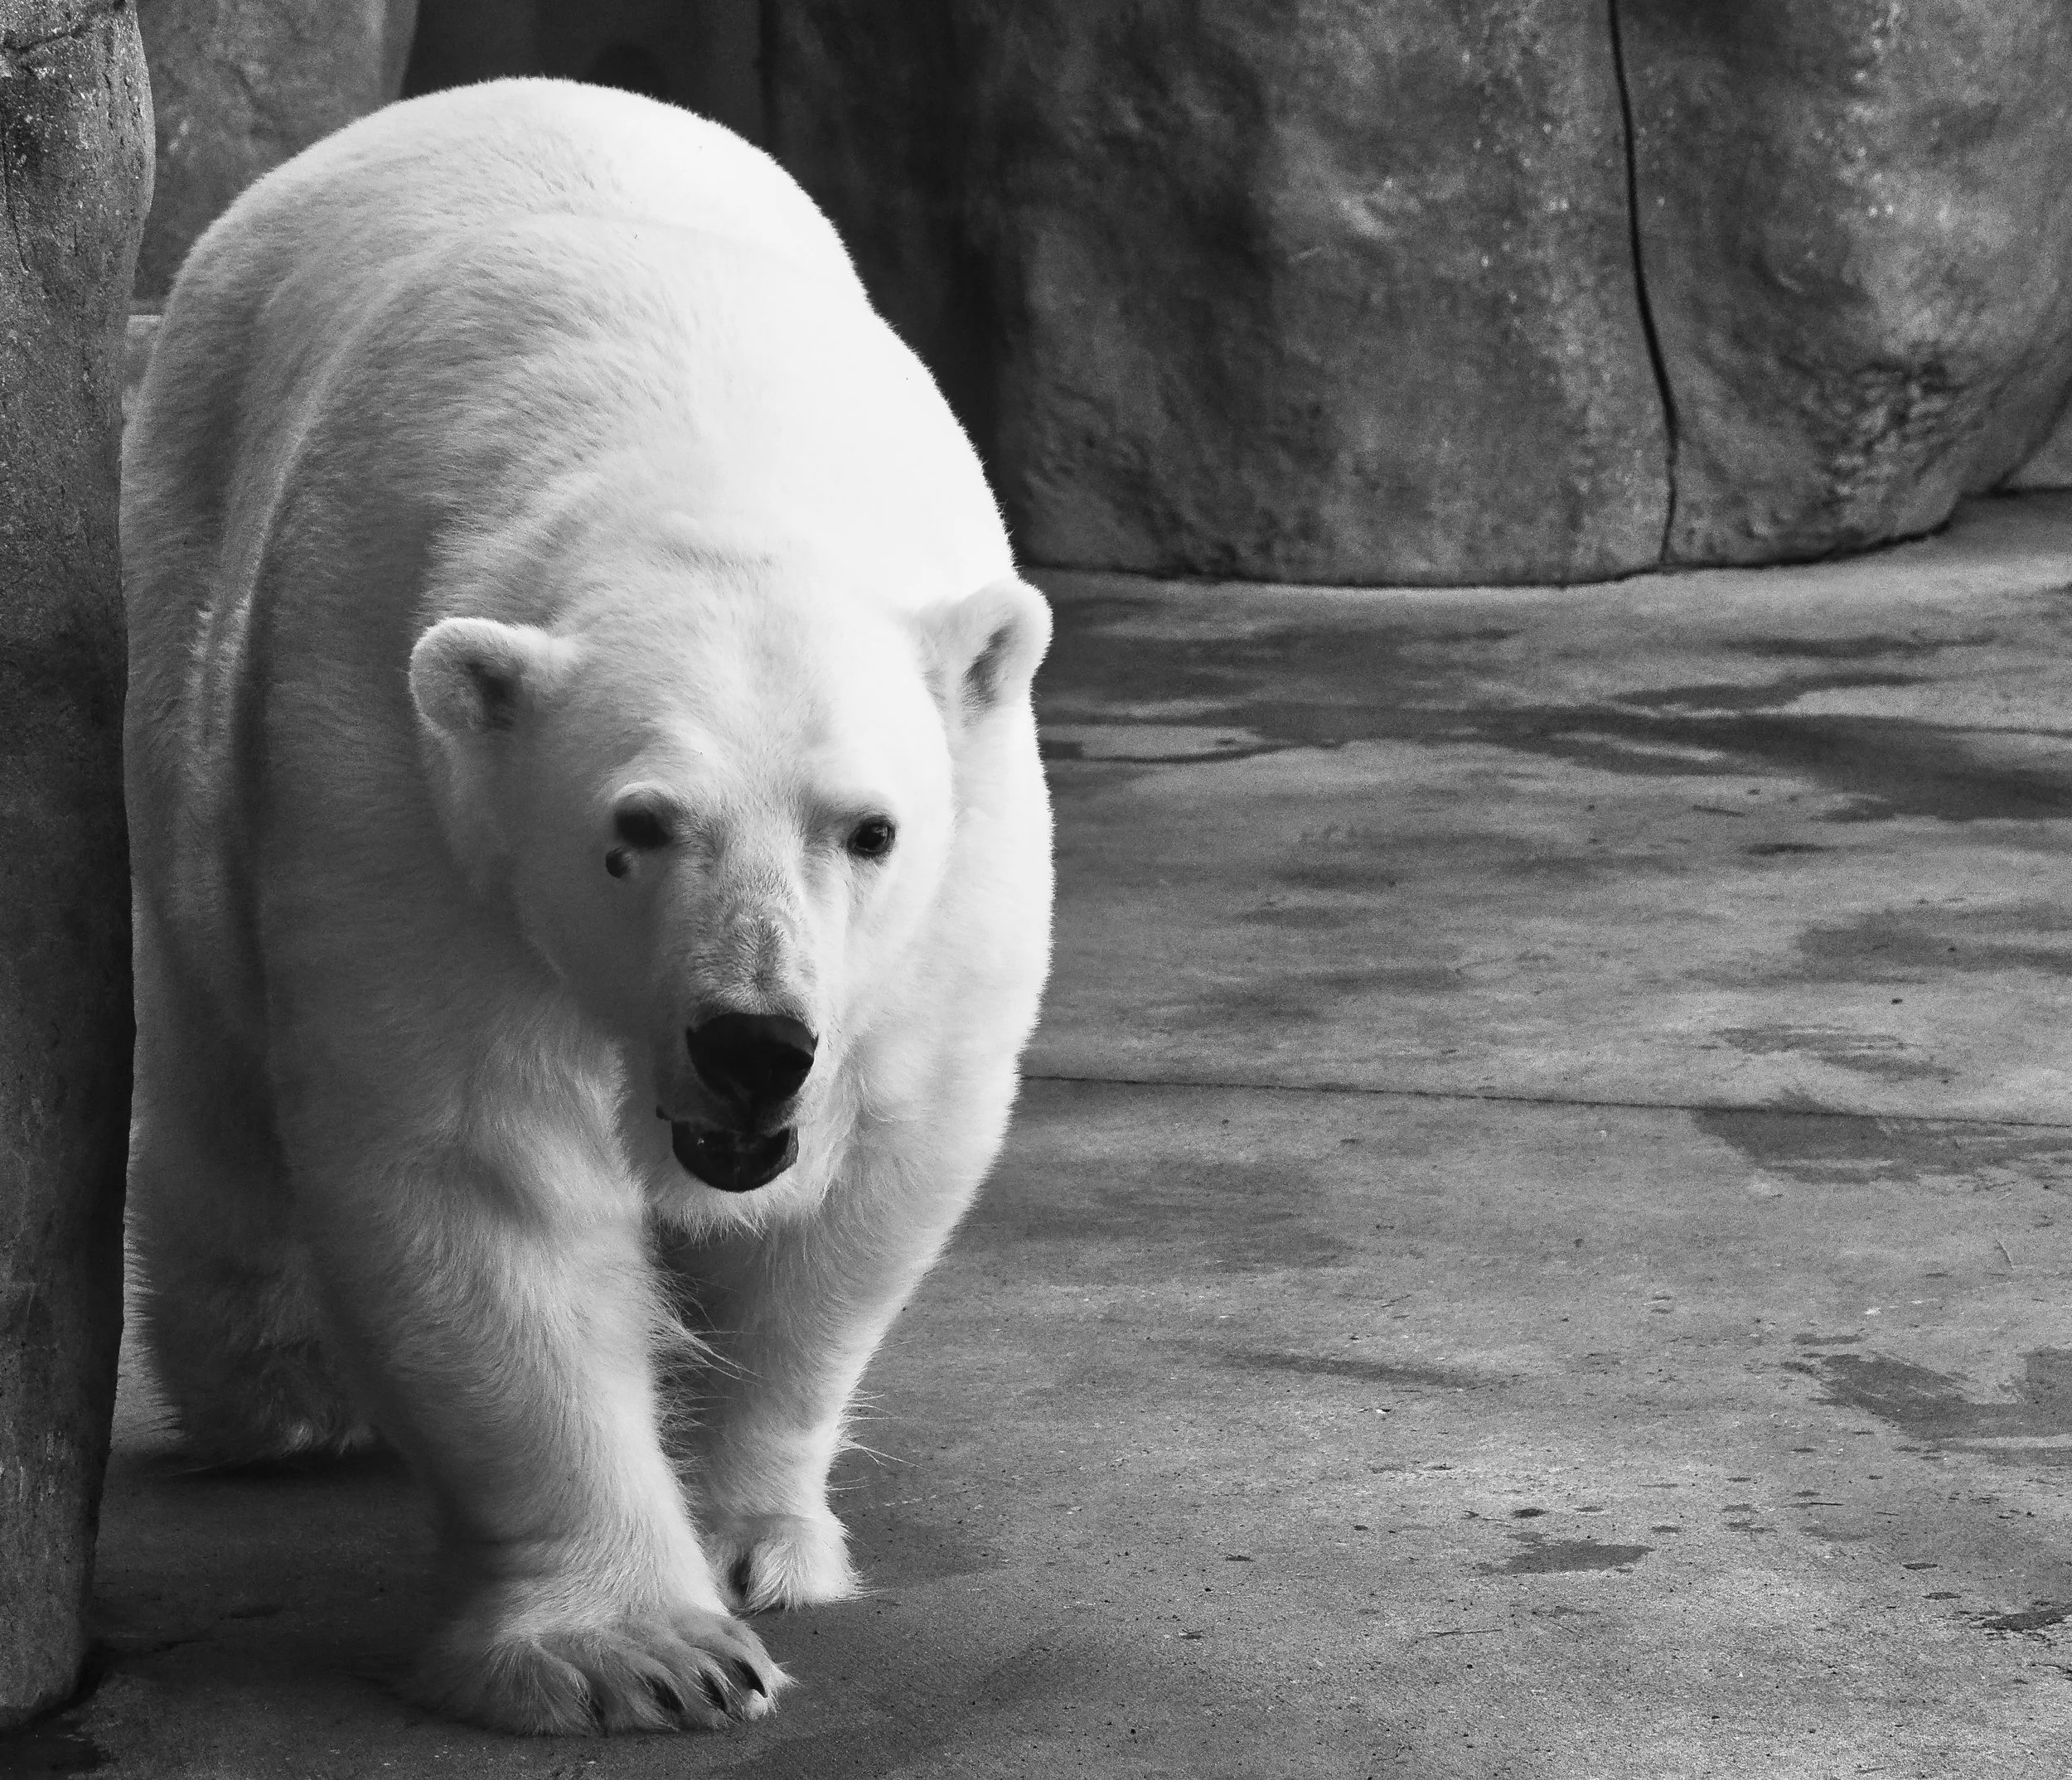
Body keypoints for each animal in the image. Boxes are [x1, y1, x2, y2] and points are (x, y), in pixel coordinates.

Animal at [121, 78, 1053, 1734]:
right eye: (638, 827)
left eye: (869, 828)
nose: (754, 1043)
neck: (700, 457)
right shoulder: (403, 780)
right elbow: (482, 1166)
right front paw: (647, 1652)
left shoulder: (964, 854)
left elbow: (875, 1167)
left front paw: (759, 1539)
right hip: (188, 613)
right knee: (215, 1055)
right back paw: (279, 1402)